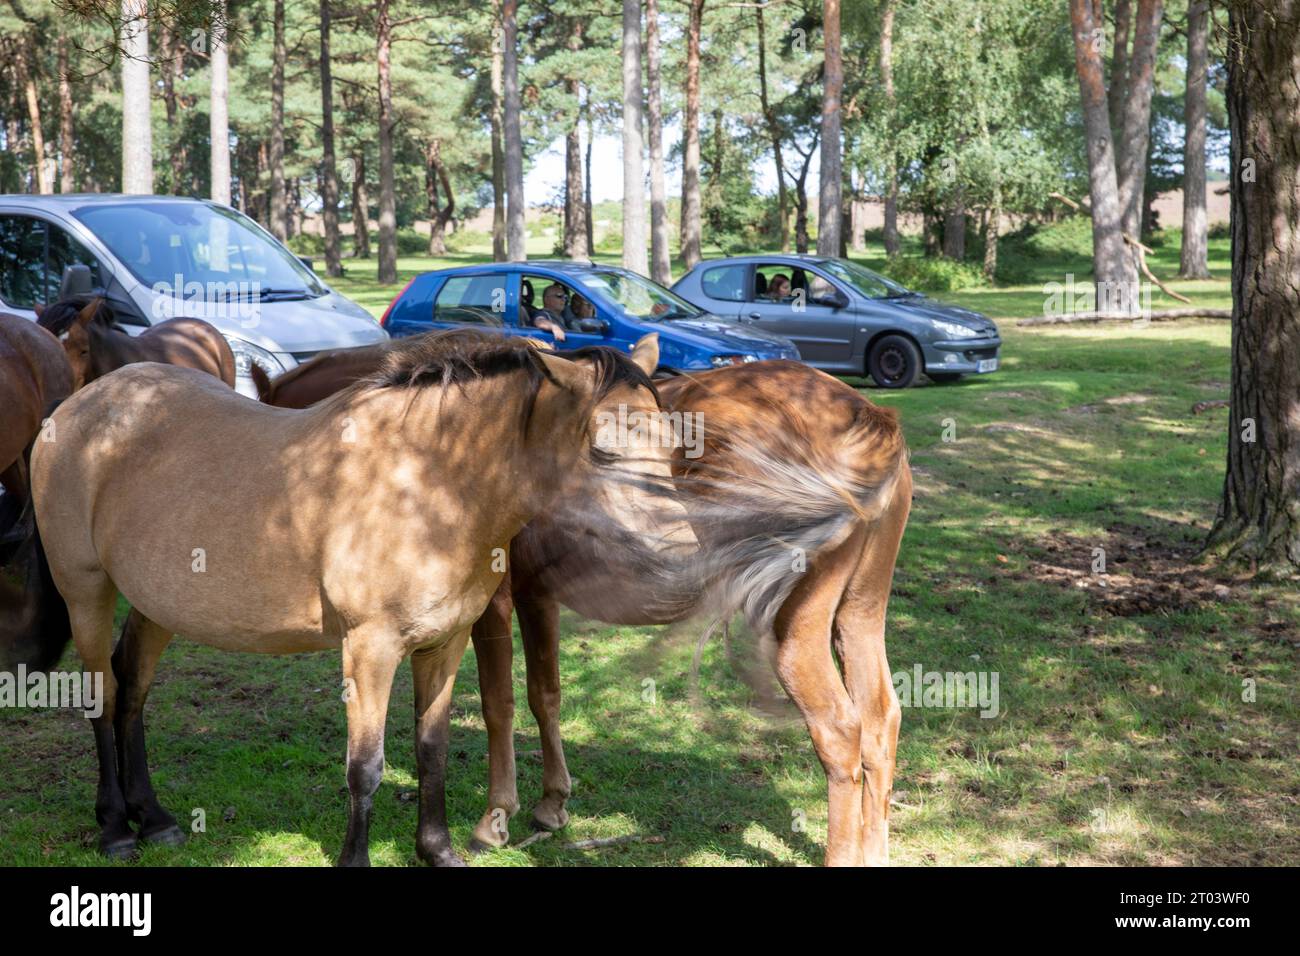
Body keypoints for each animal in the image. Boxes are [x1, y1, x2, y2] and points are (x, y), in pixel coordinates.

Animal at [30, 330, 691, 868]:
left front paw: (438, 850)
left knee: (133, 690)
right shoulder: (369, 651)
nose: (685, 553)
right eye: (603, 449)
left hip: (157, 604)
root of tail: (79, 405)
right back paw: (116, 829)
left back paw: (155, 819)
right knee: (101, 695)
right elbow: (365, 769)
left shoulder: (444, 645)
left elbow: (432, 750)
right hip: (85, 591)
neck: (427, 487)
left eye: (672, 445)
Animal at [250, 343, 904, 868]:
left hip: (795, 630)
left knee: (840, 730)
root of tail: (866, 413)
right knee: (879, 718)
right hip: (859, 614)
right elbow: (546, 694)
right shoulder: (537, 597)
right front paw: (550, 803)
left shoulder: (493, 604)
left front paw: (498, 815)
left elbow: (499, 702)